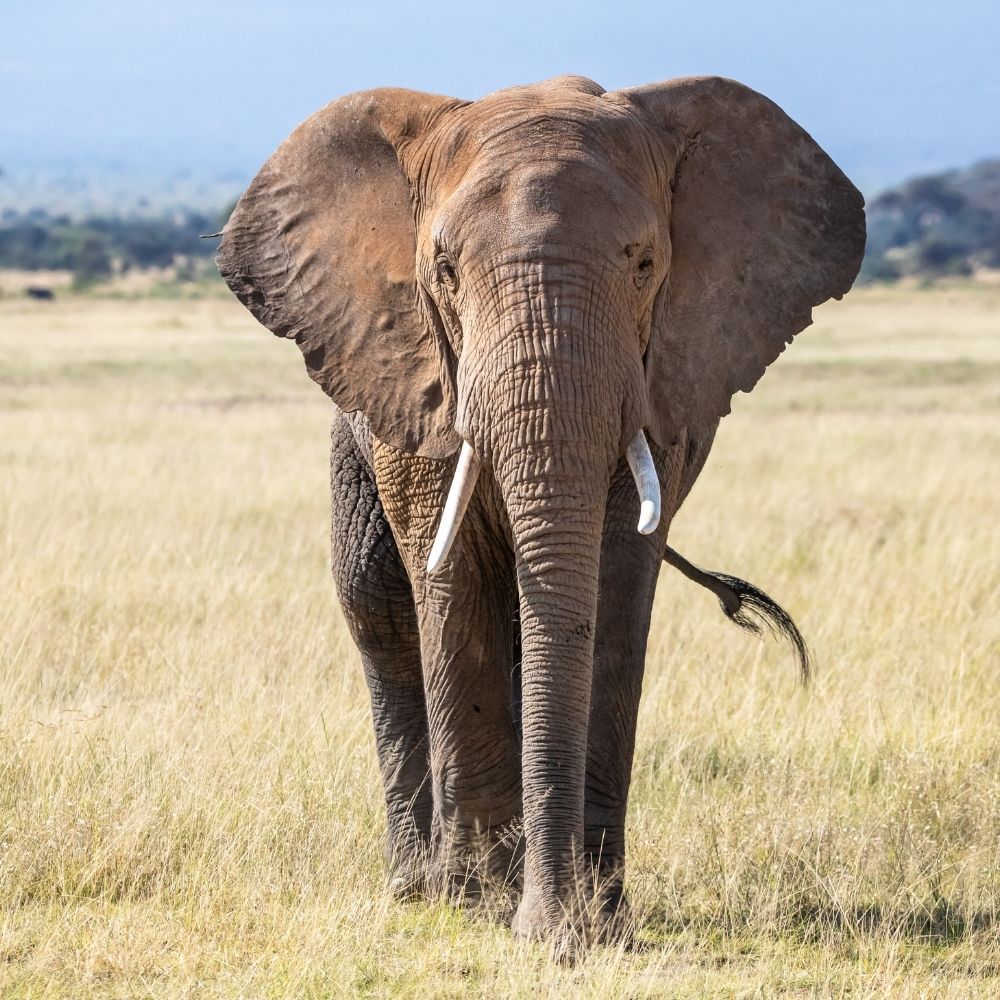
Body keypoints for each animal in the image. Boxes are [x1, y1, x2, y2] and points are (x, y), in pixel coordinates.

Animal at [216, 74, 865, 958]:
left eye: (645, 264)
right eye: (444, 271)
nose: (554, 934)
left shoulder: (661, 385)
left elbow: (615, 590)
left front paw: (596, 918)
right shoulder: (423, 375)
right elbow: (450, 579)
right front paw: (481, 907)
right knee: (377, 604)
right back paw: (419, 886)